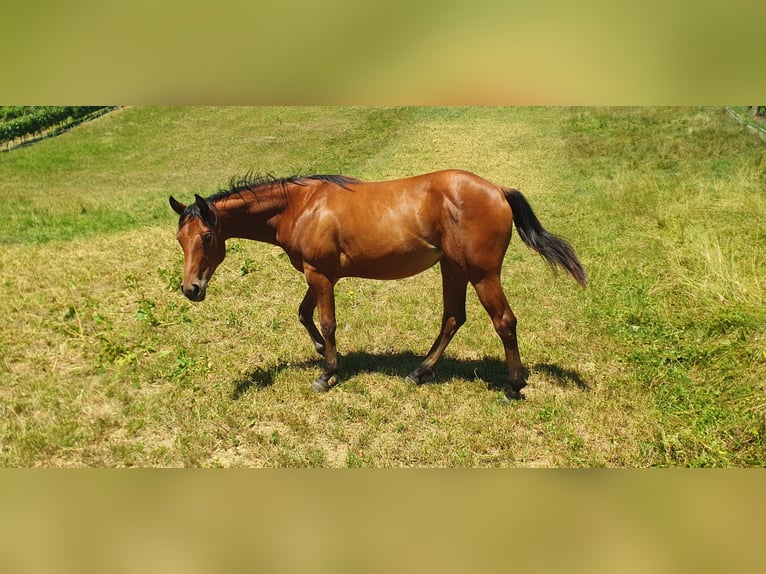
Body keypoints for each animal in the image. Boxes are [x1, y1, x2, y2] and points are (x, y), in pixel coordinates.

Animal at [169, 169, 586, 399]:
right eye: (180, 239)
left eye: (206, 236)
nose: (192, 289)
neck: (301, 205)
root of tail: (498, 190)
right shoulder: (317, 274)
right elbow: (303, 315)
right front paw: (322, 353)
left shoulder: (319, 275)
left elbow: (326, 322)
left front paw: (327, 373)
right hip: (452, 268)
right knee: (453, 318)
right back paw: (419, 372)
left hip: (482, 274)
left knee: (504, 322)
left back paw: (513, 387)